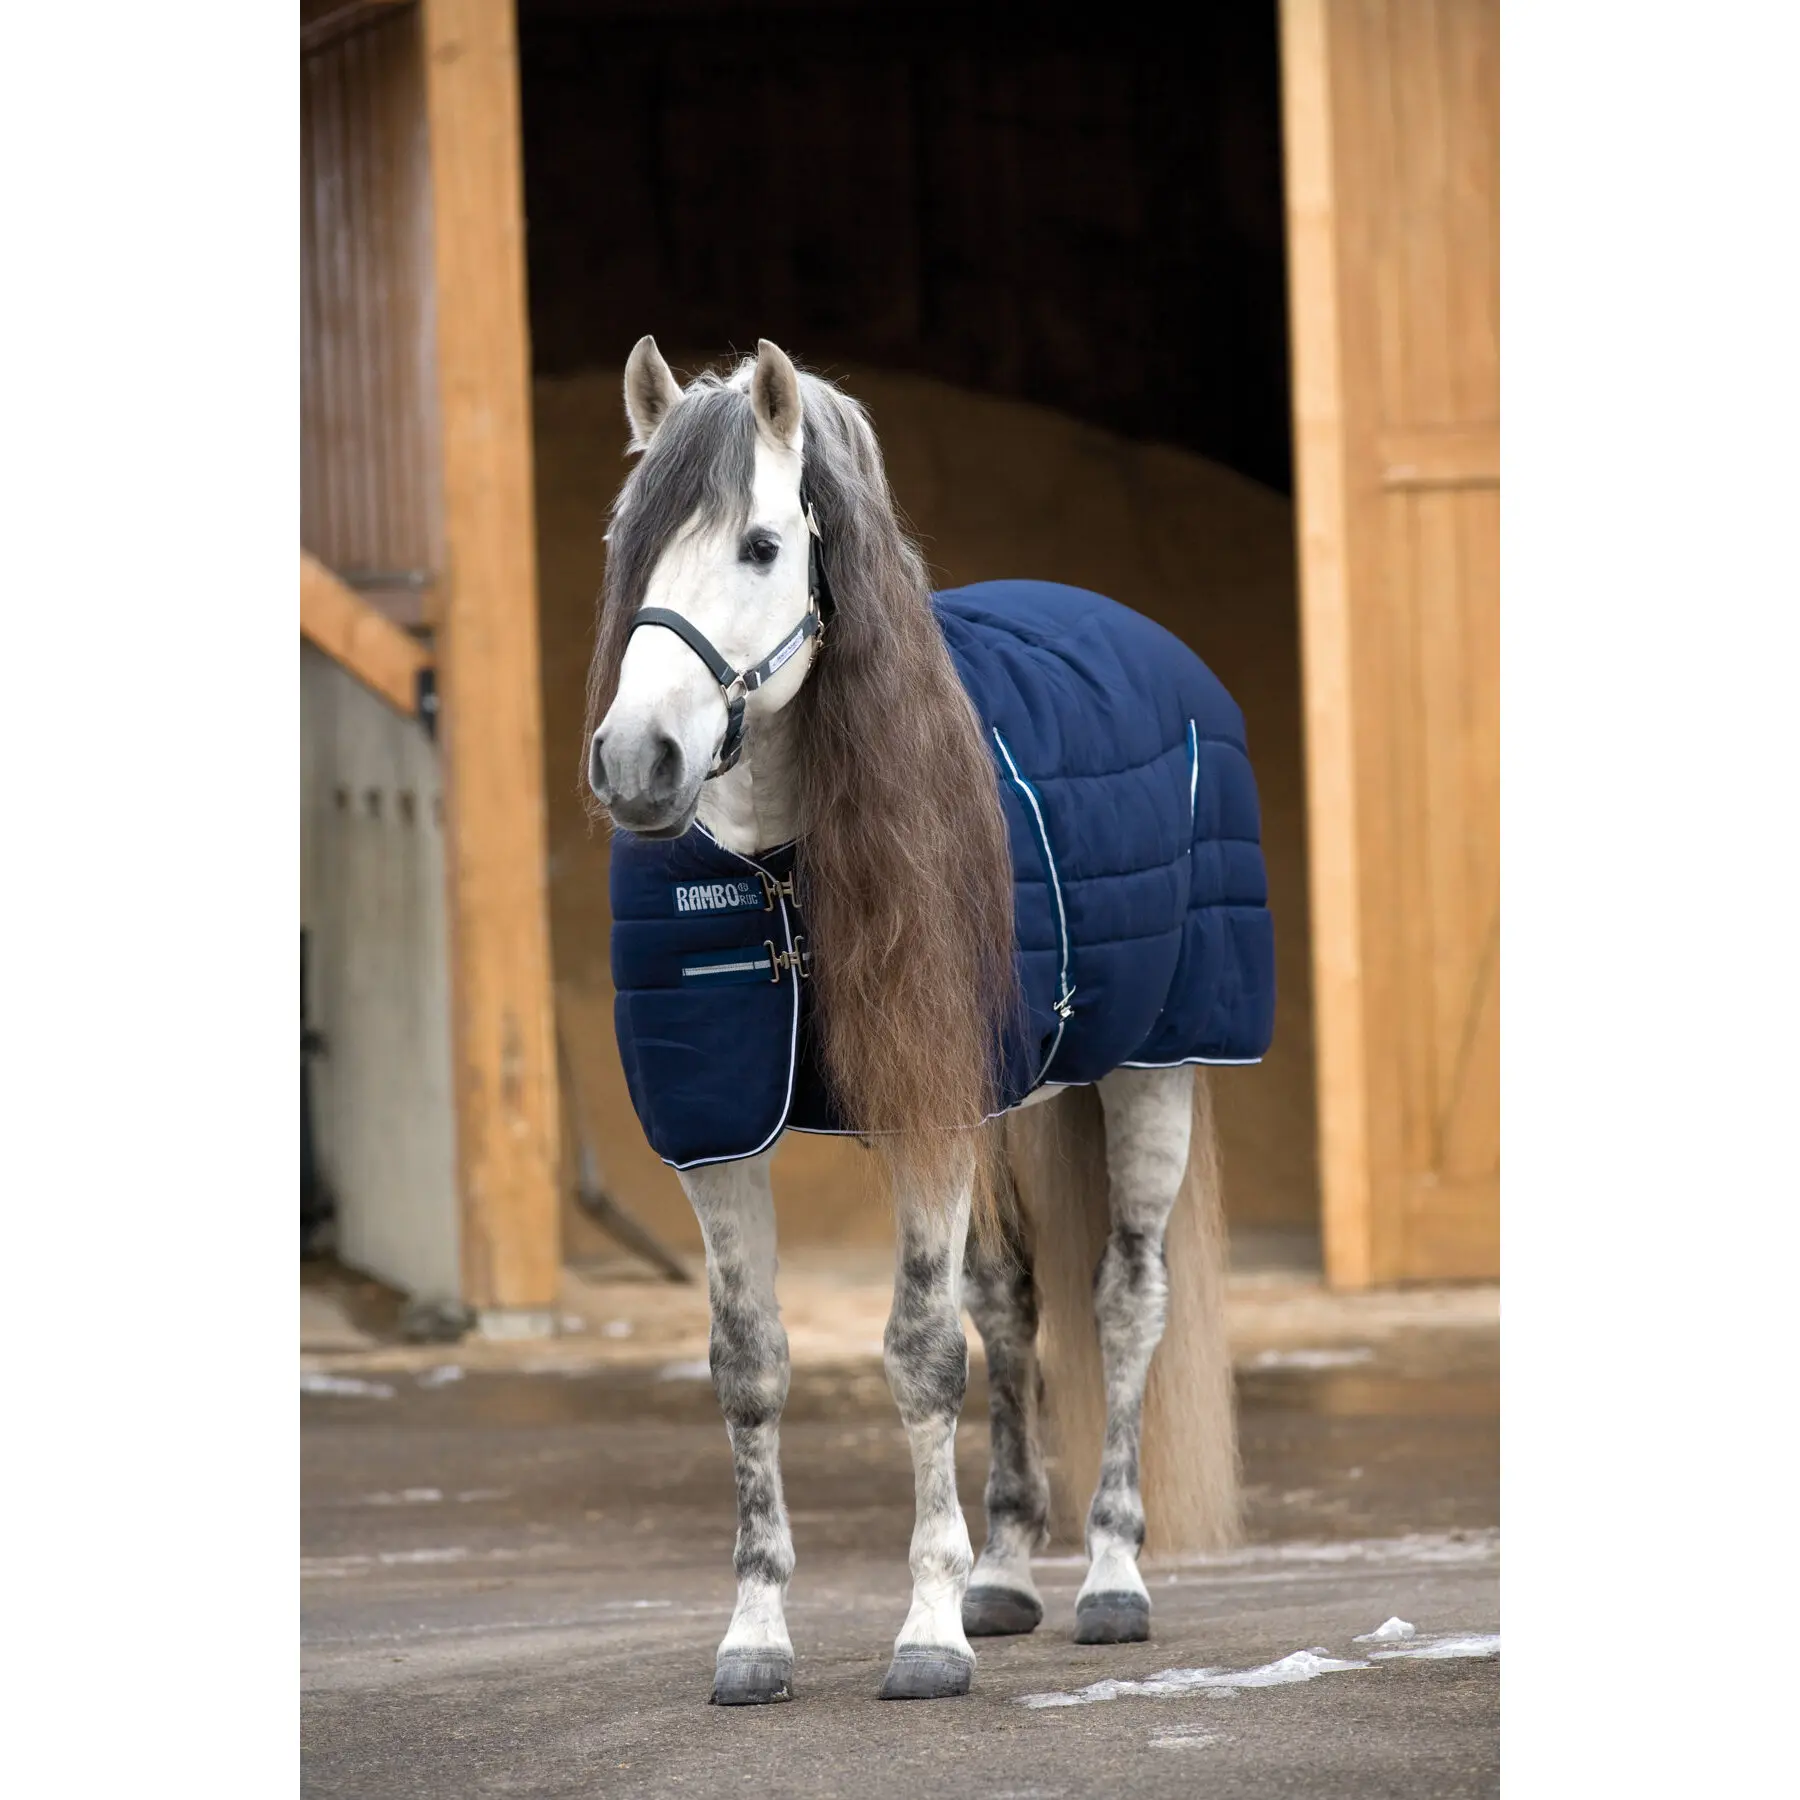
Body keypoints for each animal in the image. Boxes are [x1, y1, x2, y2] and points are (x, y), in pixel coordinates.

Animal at [583, 337, 1273, 1705]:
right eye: (628, 545)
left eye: (759, 546)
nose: (638, 762)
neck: (781, 868)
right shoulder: (718, 1132)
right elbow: (751, 1367)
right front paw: (758, 1635)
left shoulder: (931, 1116)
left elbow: (918, 1353)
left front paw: (927, 1632)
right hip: (1014, 1101)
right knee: (1012, 1304)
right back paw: (1008, 1572)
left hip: (1151, 1072)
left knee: (1126, 1302)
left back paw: (1110, 1578)